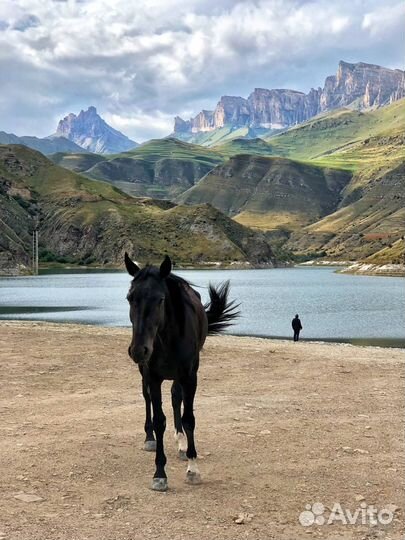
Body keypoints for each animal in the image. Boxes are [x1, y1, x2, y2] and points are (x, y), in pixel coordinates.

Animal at [123, 253, 237, 494]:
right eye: (129, 297)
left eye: (160, 299)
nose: (138, 350)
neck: (167, 338)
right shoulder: (153, 377)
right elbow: (159, 420)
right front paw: (159, 474)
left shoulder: (190, 376)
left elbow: (188, 419)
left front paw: (193, 468)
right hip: (145, 373)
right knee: (147, 399)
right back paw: (149, 439)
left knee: (176, 397)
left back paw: (182, 444)